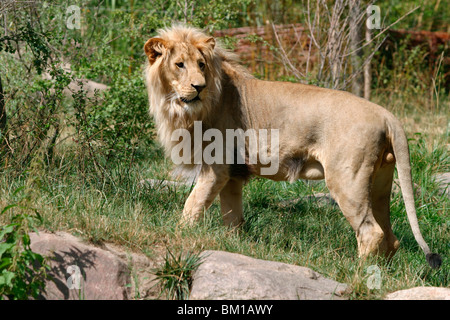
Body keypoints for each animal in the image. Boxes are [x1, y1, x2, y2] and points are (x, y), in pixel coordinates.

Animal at [145, 25, 442, 268]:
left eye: (202, 64)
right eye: (180, 65)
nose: (199, 87)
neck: (181, 109)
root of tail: (387, 114)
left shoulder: (217, 167)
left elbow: (192, 204)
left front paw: (180, 234)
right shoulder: (233, 172)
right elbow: (232, 217)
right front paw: (233, 246)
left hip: (348, 180)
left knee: (371, 232)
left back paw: (358, 273)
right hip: (381, 182)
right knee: (390, 237)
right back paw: (380, 274)